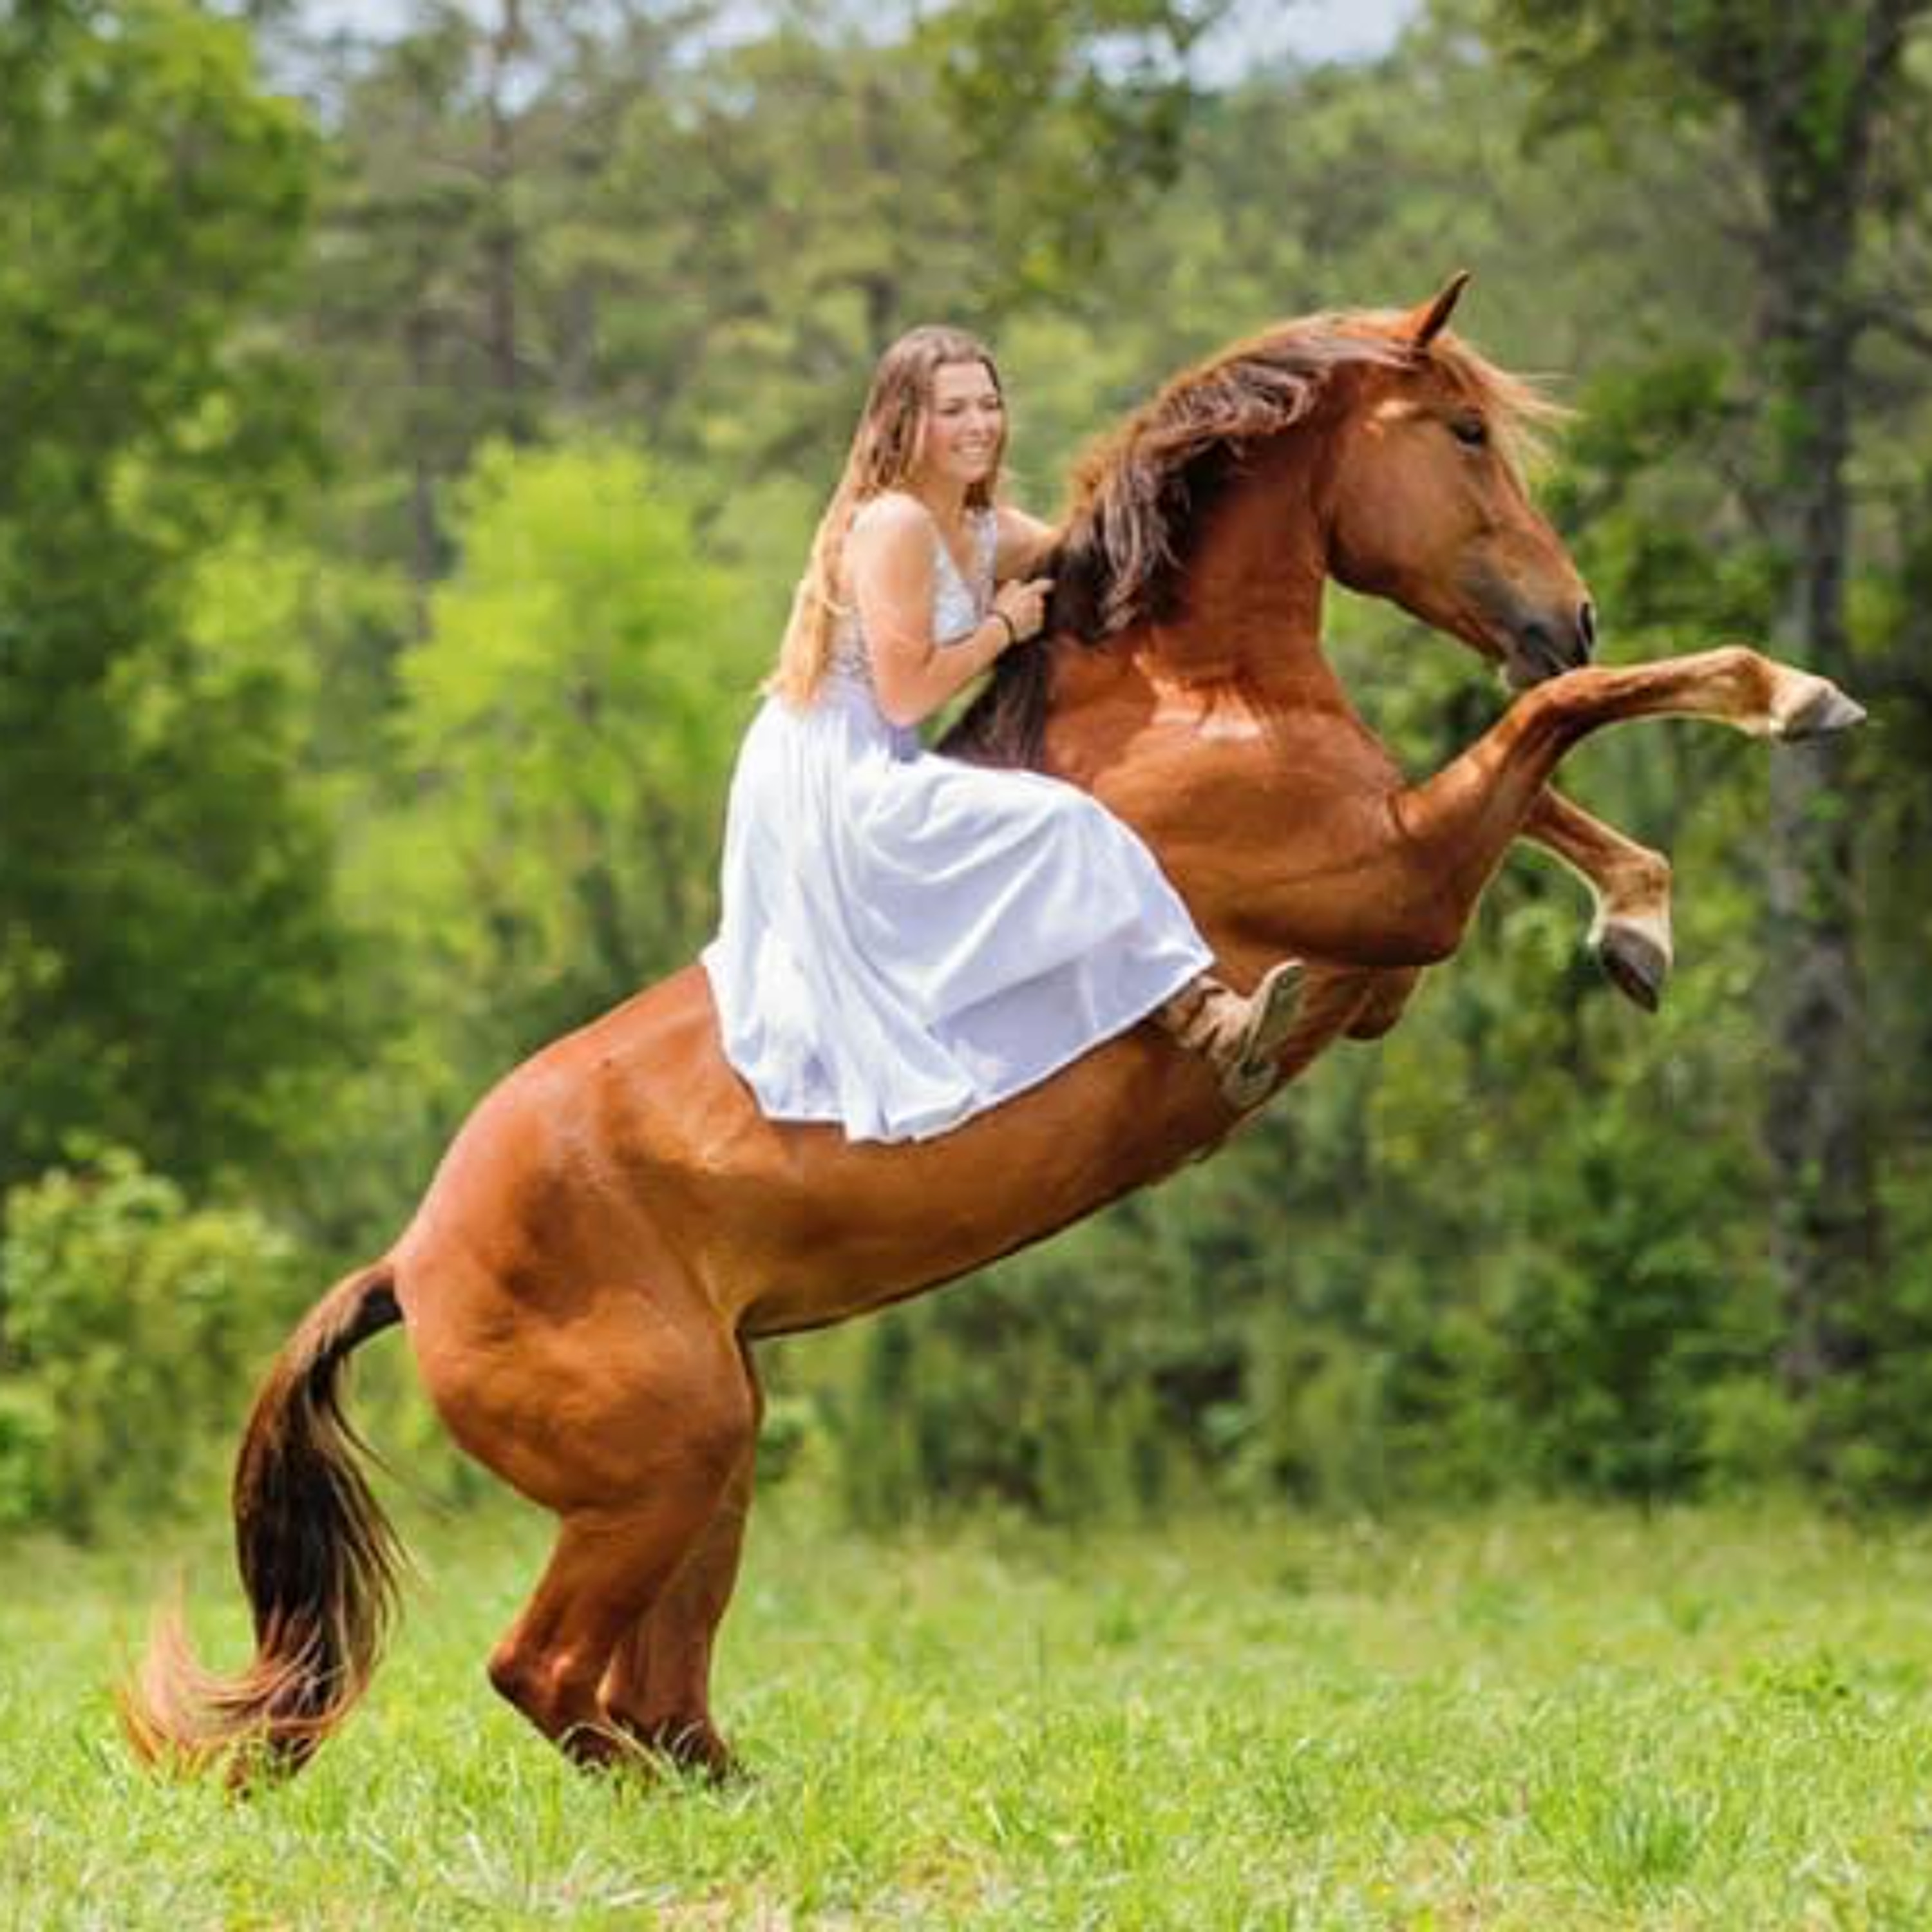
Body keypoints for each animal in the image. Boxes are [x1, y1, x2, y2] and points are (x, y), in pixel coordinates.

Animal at [122, 274, 1862, 1783]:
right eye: (1464, 434)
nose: (1570, 613)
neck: (1199, 697)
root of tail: (408, 1259)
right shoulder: (1402, 880)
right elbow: (1546, 734)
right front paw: (1787, 697)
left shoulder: (1395, 901)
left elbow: (1548, 783)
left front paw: (1630, 922)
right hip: (660, 1464)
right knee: (548, 1672)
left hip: (715, 1456)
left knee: (652, 1690)